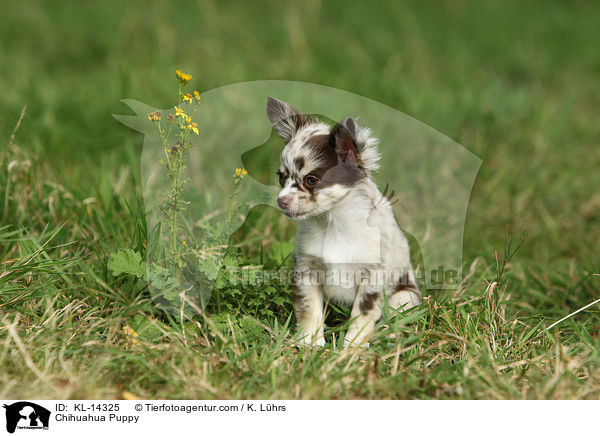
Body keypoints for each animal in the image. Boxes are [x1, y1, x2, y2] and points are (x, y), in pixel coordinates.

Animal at [268, 97, 422, 346]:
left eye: (312, 181)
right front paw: (310, 343)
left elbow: (362, 315)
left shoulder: (372, 278)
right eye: (281, 178)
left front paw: (351, 348)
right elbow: (310, 309)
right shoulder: (307, 271)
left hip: (405, 296)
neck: (333, 223)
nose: (281, 201)